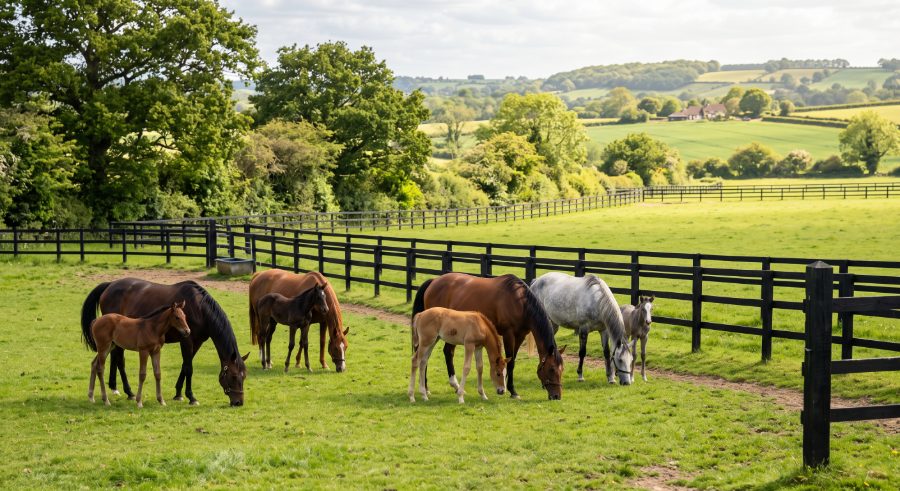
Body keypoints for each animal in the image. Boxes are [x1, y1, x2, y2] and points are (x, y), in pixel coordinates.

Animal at [81, 279, 249, 407]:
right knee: (119, 361)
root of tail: (110, 284)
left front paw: (178, 393)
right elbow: (189, 368)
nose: (238, 402)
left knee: (112, 360)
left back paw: (115, 388)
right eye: (234, 376)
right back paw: (128, 392)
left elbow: (185, 366)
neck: (199, 308)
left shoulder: (197, 342)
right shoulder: (186, 340)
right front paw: (191, 397)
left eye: (244, 376)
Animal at [412, 273, 565, 400]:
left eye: (561, 369)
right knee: (424, 357)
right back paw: (426, 388)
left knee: (447, 352)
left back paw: (454, 386)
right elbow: (511, 362)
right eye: (551, 369)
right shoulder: (508, 334)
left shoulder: (520, 335)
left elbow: (512, 361)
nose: (557, 396)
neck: (519, 303)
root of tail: (434, 281)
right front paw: (512, 391)